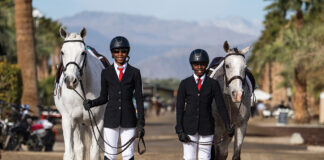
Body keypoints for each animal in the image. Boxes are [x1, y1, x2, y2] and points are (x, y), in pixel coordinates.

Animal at [54, 27, 105, 160]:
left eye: (82, 52)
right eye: (62, 52)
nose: (70, 80)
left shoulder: (98, 121)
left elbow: (94, 152)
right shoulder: (68, 120)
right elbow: (69, 153)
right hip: (77, 123)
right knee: (79, 148)